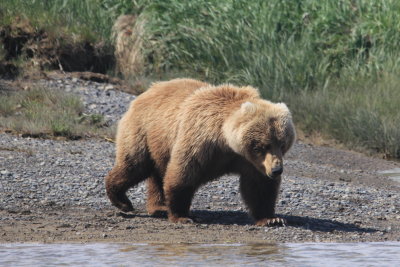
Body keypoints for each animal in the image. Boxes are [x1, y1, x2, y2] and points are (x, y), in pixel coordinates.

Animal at [104, 78, 296, 227]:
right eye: (263, 145)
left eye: (282, 143)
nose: (277, 170)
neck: (226, 141)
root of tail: (147, 91)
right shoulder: (200, 140)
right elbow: (183, 174)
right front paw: (183, 216)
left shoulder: (250, 162)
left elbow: (259, 186)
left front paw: (272, 219)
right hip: (144, 130)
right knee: (134, 164)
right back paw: (122, 201)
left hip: (159, 144)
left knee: (156, 173)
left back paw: (159, 207)